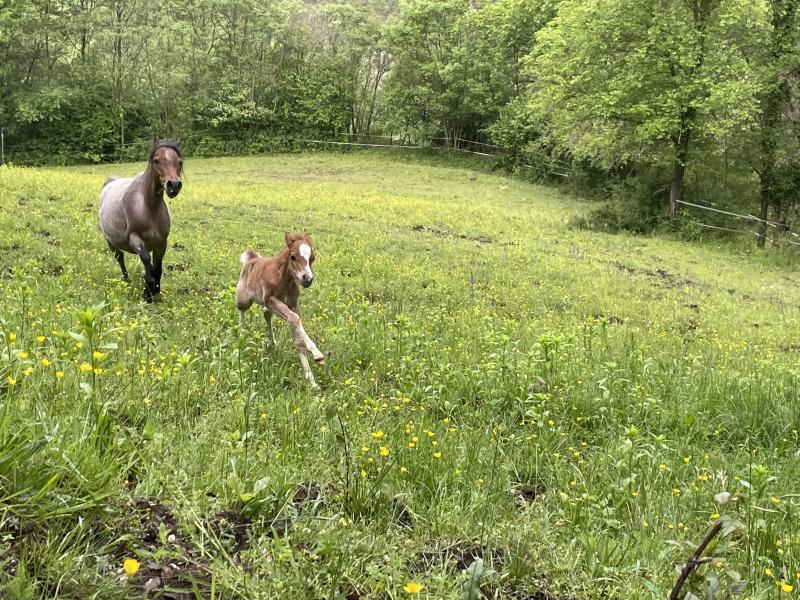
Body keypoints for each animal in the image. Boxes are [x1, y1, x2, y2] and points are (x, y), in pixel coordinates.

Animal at [97, 141, 184, 300]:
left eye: (179, 161)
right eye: (156, 160)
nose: (173, 185)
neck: (149, 207)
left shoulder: (161, 243)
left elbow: (157, 267)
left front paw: (155, 291)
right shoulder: (134, 239)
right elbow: (146, 261)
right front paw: (148, 292)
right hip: (111, 241)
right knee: (120, 258)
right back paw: (126, 280)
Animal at [238, 232, 324, 386]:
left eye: (312, 258)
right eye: (293, 256)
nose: (307, 279)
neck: (284, 280)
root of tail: (252, 258)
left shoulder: (293, 304)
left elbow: (298, 337)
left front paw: (312, 382)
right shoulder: (270, 300)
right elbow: (294, 319)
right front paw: (317, 354)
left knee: (266, 314)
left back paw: (273, 343)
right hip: (244, 299)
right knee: (242, 310)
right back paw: (242, 335)